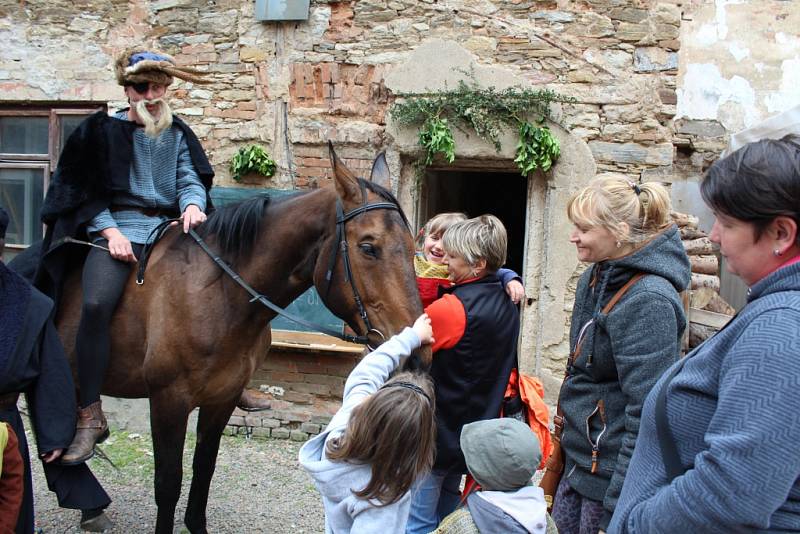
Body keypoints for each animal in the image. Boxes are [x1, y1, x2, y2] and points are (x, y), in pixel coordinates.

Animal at [54, 144, 428, 532]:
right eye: (368, 247)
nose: (418, 350)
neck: (217, 295)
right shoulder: (168, 402)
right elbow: (168, 483)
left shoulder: (222, 399)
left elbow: (204, 470)